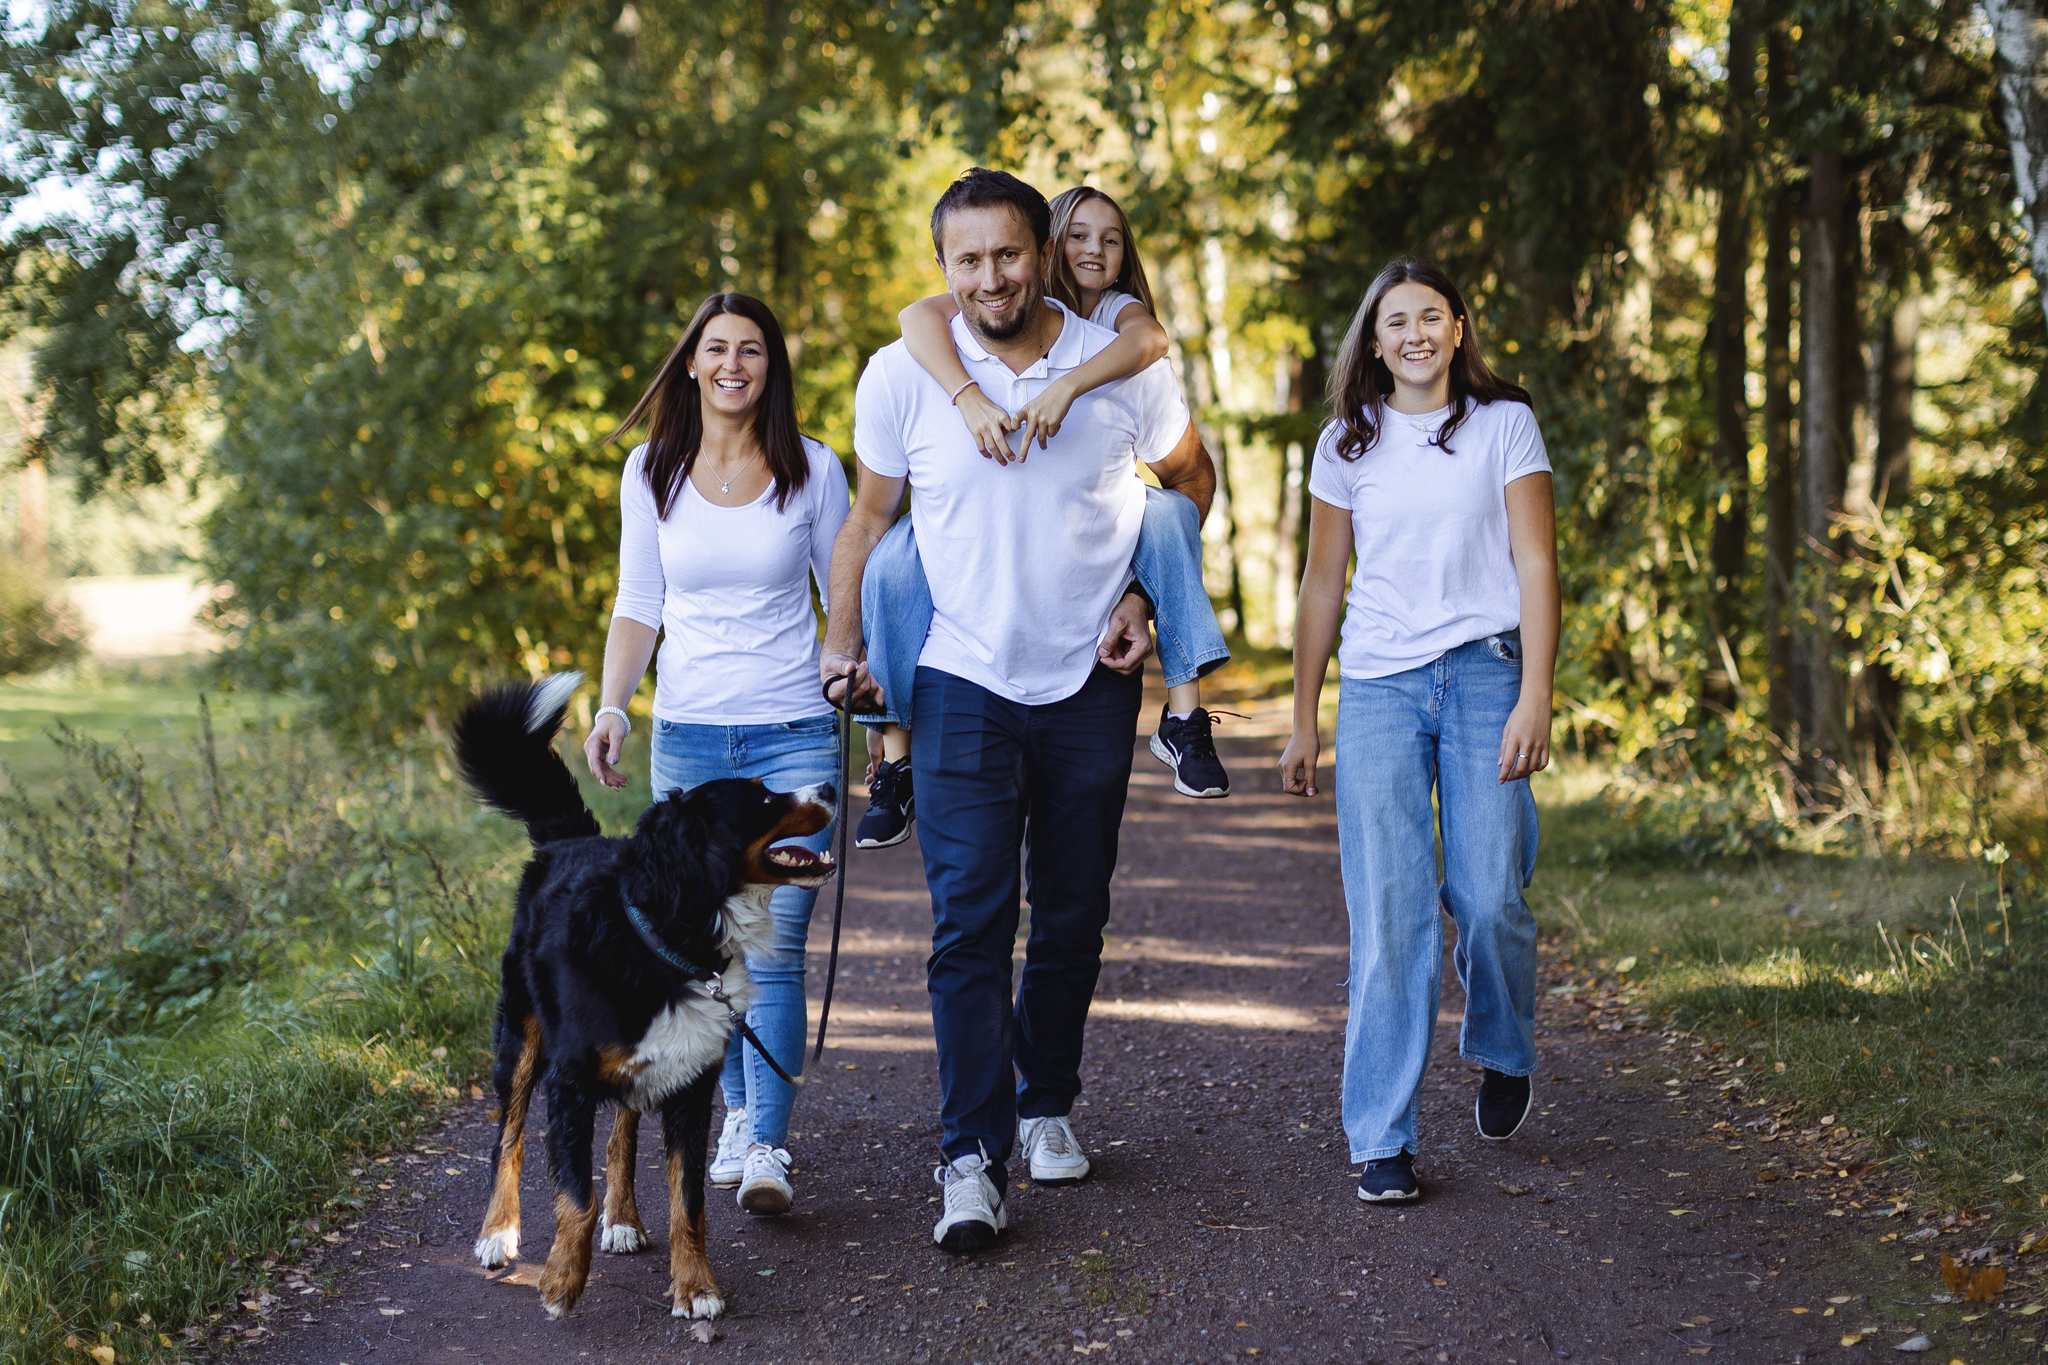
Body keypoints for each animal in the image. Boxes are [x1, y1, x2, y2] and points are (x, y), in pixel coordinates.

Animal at [450, 675, 831, 1326]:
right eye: (760, 798)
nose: (830, 787)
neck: (671, 940)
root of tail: (575, 840)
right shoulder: (570, 1081)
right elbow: (575, 1195)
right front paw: (560, 1280)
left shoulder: (692, 1087)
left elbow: (687, 1202)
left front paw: (696, 1286)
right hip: (520, 1037)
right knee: (508, 1136)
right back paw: (498, 1233)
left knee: (622, 1129)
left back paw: (624, 1217)